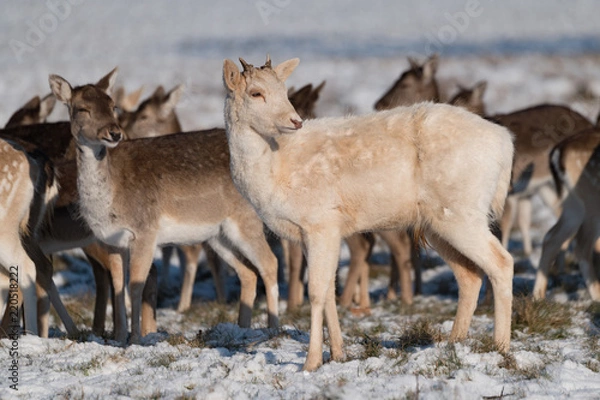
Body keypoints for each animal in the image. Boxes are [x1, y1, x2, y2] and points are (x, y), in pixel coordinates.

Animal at [48, 69, 278, 344]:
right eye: (82, 108)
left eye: (112, 105)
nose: (114, 133)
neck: (110, 199)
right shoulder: (112, 241)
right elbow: (118, 285)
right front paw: (119, 337)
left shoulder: (145, 231)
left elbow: (135, 285)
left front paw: (136, 339)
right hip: (219, 235)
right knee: (248, 273)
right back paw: (241, 330)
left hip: (246, 221)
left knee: (270, 264)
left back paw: (274, 329)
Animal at [223, 57, 512, 372]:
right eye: (256, 93)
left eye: (284, 90)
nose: (294, 121)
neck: (274, 170)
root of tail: (505, 143)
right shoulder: (318, 232)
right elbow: (329, 291)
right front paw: (338, 354)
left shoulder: (320, 223)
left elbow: (316, 292)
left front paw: (311, 363)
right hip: (437, 224)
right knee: (469, 275)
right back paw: (453, 344)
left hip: (462, 212)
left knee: (502, 262)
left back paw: (501, 347)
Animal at [532, 130, 600, 302]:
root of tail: (558, 152)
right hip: (592, 200)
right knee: (582, 245)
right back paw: (597, 296)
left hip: (573, 204)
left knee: (551, 237)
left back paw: (538, 296)